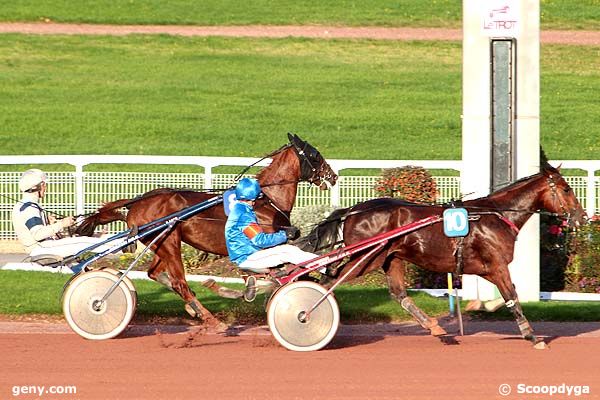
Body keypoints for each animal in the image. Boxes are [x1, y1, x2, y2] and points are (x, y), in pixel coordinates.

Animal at [78, 134, 338, 324]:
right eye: (315, 155)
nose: (334, 176)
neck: (265, 198)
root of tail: (137, 201)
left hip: (162, 244)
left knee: (155, 273)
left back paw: (193, 307)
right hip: (169, 242)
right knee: (179, 281)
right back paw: (208, 316)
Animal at [300, 166, 584, 346]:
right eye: (566, 189)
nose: (581, 217)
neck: (497, 214)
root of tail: (352, 211)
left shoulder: (487, 268)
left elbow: (507, 295)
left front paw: (480, 306)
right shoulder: (497, 264)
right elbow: (512, 296)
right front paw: (531, 336)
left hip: (392, 258)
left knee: (398, 293)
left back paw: (435, 327)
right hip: (367, 258)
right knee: (329, 281)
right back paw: (306, 316)